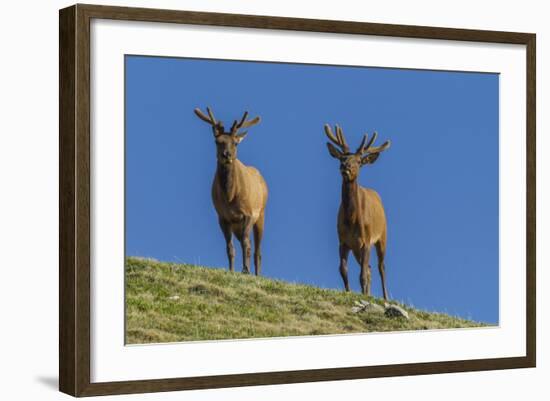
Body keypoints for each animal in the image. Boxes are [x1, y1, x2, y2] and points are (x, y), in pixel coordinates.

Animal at [196, 106, 270, 276]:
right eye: (217, 142)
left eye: (235, 143)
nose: (226, 155)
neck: (230, 196)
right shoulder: (223, 217)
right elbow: (230, 248)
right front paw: (231, 270)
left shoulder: (248, 213)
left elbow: (245, 243)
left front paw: (245, 270)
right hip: (237, 226)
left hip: (261, 214)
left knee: (257, 250)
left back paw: (257, 274)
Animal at [326, 123, 394, 298]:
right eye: (342, 158)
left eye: (358, 161)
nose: (345, 167)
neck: (352, 219)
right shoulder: (343, 241)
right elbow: (343, 270)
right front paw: (349, 292)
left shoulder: (366, 240)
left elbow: (362, 275)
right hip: (357, 248)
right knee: (370, 269)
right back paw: (368, 294)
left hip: (383, 236)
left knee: (381, 267)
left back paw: (385, 297)